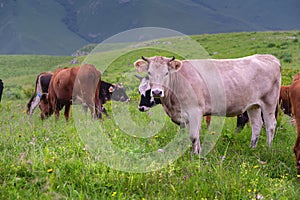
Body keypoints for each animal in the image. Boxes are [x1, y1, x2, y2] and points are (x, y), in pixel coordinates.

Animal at [135, 54, 282, 154]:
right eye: (150, 72)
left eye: (166, 73)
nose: (157, 92)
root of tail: (269, 57)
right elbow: (192, 135)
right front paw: (198, 152)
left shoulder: (195, 111)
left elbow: (193, 136)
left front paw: (195, 156)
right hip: (253, 105)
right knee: (257, 125)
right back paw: (252, 147)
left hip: (269, 101)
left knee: (270, 125)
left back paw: (268, 149)